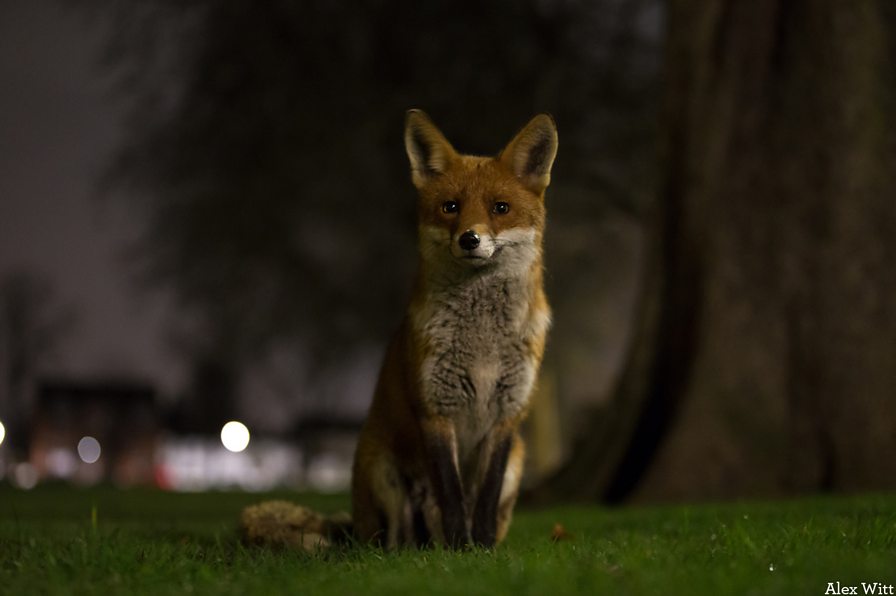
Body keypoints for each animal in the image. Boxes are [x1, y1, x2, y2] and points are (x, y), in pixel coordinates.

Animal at [352, 109, 556, 548]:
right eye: (451, 207)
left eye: (500, 207)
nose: (469, 239)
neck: (482, 346)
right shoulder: (435, 411)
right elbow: (452, 495)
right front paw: (461, 550)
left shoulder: (507, 416)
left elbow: (483, 498)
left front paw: (482, 550)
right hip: (384, 476)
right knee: (394, 540)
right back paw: (415, 552)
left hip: (518, 460)